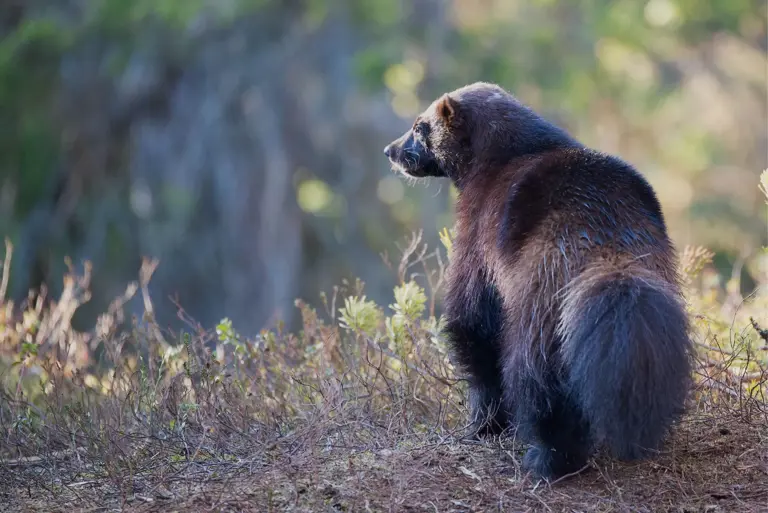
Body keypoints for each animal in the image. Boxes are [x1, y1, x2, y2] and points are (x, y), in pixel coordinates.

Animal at [383, 82, 694, 480]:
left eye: (420, 126)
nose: (391, 150)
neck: (507, 152)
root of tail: (607, 246)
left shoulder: (475, 239)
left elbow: (474, 325)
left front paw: (484, 424)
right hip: (660, 280)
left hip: (540, 306)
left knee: (539, 384)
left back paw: (547, 459)